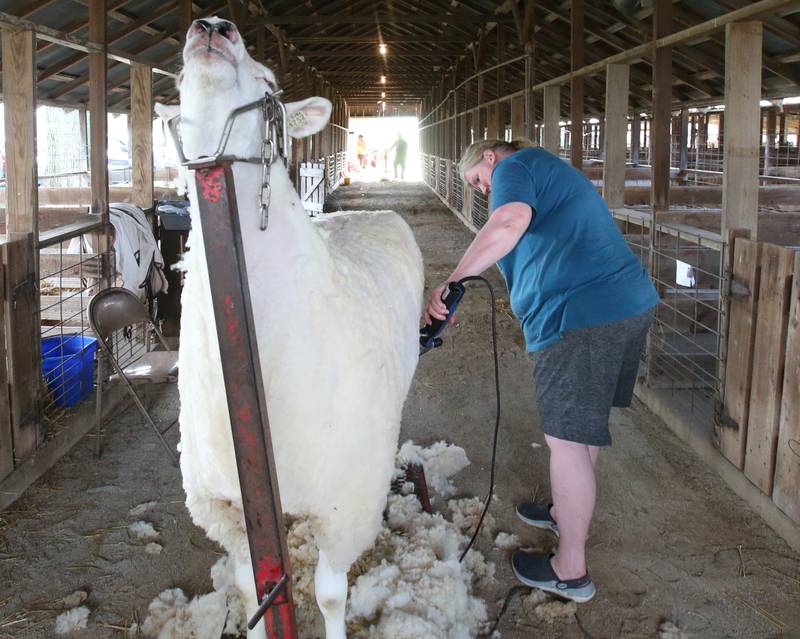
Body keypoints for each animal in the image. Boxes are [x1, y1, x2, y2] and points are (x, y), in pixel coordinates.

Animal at [171, 16, 424, 639]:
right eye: (180, 78)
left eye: (269, 81)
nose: (213, 27)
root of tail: (366, 213)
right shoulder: (221, 508)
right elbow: (253, 586)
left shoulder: (348, 503)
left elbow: (331, 594)